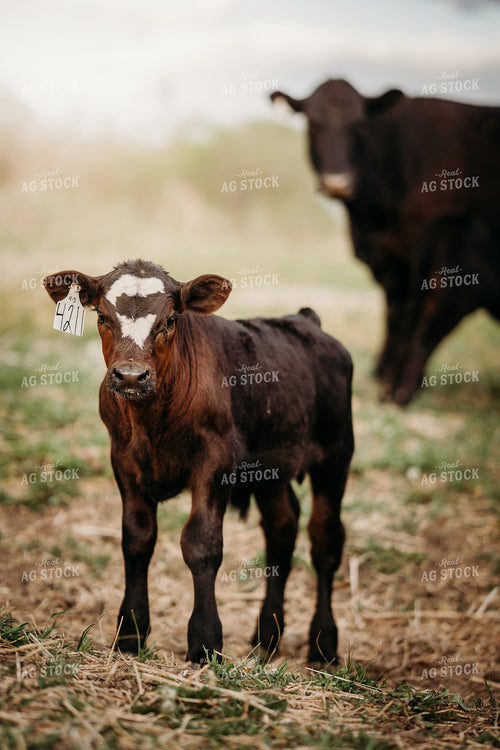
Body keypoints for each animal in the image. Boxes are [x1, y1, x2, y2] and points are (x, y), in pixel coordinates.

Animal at [44, 259, 353, 665]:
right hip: (271, 467)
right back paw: (266, 637)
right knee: (281, 530)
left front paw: (205, 643)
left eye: (170, 319)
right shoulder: (123, 460)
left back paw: (323, 644)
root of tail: (306, 321)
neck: (152, 420)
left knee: (325, 540)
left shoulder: (215, 460)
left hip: (336, 453)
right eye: (102, 316)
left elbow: (201, 543)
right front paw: (129, 636)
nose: (131, 376)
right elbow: (137, 540)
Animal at [271, 79, 500, 404]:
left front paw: (394, 381)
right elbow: (393, 313)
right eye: (313, 125)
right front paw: (384, 375)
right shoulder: (388, 258)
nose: (336, 182)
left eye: (358, 126)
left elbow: (407, 314)